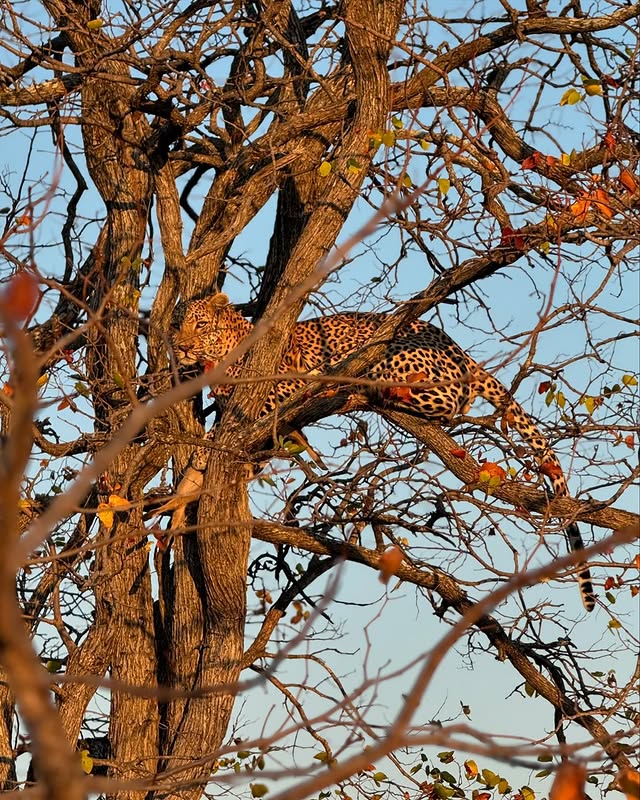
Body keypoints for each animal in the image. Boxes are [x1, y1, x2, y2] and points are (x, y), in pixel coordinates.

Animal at [171, 292, 595, 611]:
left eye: (201, 325)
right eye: (177, 325)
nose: (181, 347)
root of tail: (461, 351)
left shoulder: (276, 392)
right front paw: (186, 494)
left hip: (397, 357)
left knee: (447, 401)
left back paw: (368, 386)